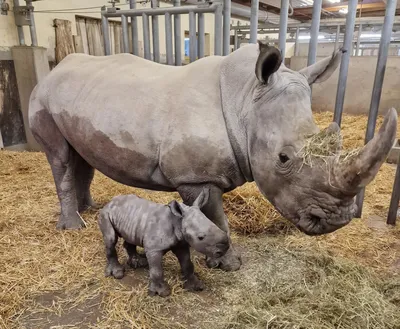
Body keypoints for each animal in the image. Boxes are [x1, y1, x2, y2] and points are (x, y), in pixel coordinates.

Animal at [99, 187, 230, 298]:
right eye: (200, 237)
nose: (225, 248)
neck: (178, 220)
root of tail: (110, 202)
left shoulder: (181, 244)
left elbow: (187, 264)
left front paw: (195, 286)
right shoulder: (154, 249)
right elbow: (157, 270)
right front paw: (162, 292)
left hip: (130, 217)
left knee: (130, 237)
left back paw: (138, 262)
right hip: (105, 214)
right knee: (111, 239)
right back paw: (118, 273)